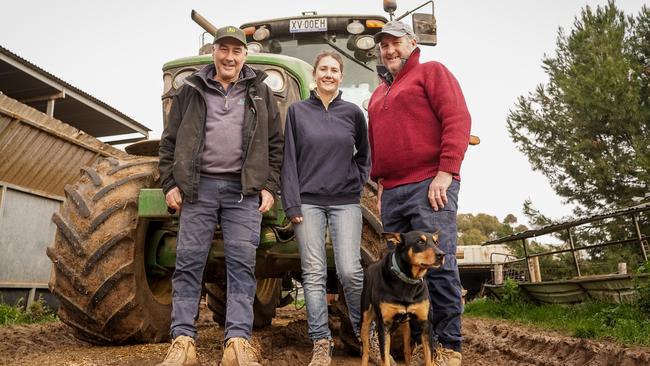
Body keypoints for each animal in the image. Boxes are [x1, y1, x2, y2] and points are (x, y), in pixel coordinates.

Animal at [360, 232, 446, 366]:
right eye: (420, 242)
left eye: (436, 242)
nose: (441, 255)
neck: (408, 281)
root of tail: (370, 265)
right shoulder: (384, 326)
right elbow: (384, 358)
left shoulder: (426, 324)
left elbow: (429, 358)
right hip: (366, 319)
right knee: (365, 350)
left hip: (406, 326)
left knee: (406, 350)